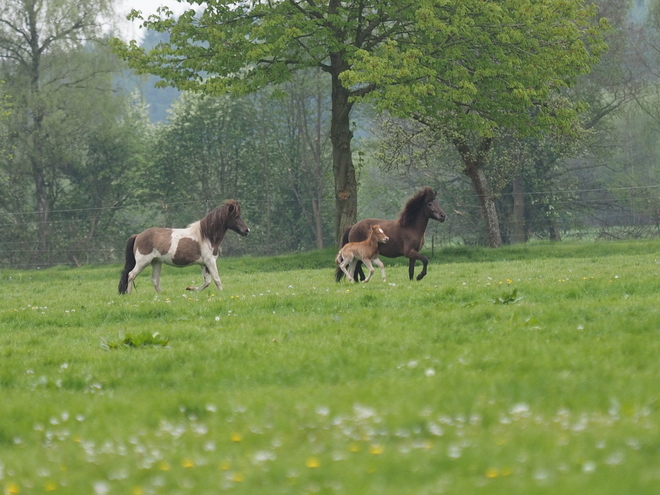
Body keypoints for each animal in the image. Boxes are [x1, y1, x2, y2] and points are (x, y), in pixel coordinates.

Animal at [117, 201, 249, 294]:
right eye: (236, 216)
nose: (247, 231)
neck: (206, 236)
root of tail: (138, 235)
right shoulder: (210, 261)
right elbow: (216, 279)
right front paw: (221, 293)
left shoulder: (204, 264)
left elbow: (207, 282)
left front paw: (190, 289)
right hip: (143, 262)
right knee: (131, 275)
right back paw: (129, 293)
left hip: (156, 262)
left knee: (154, 280)